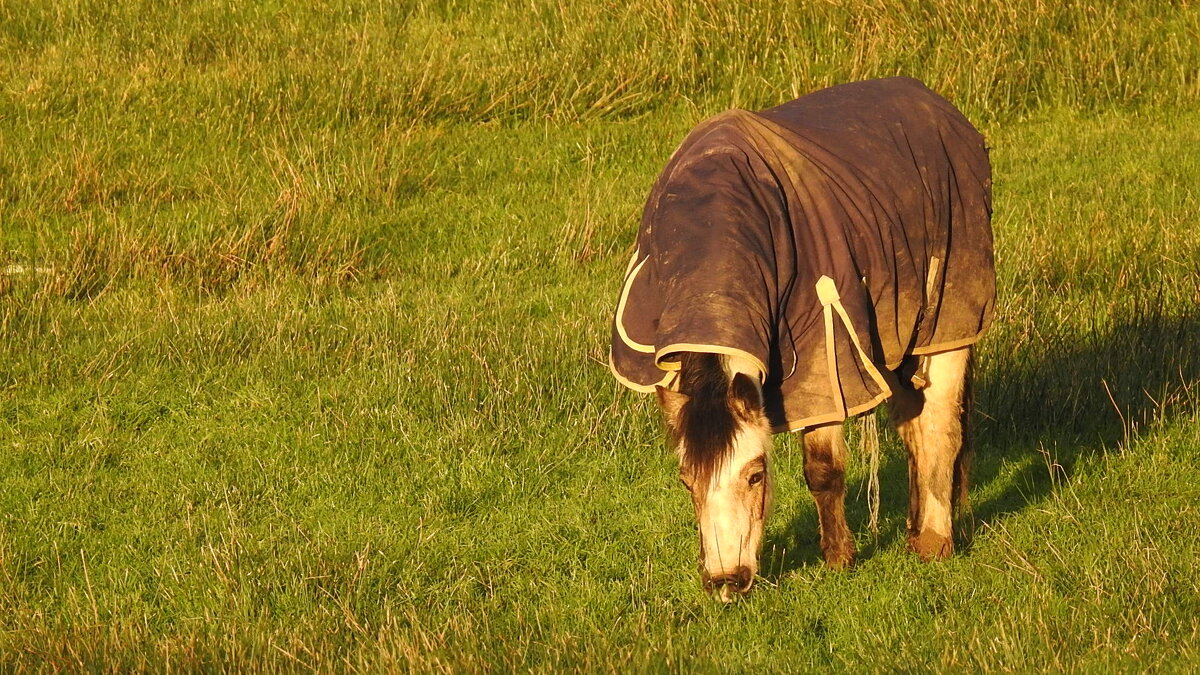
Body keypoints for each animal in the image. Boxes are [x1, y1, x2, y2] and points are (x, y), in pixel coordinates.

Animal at [609, 78, 993, 598]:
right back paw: (916, 533)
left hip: (946, 324)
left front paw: (838, 560)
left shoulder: (822, 364)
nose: (725, 582)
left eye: (756, 475)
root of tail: (935, 102)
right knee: (914, 425)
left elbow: (822, 468)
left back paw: (934, 543)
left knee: (940, 427)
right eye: (687, 481)